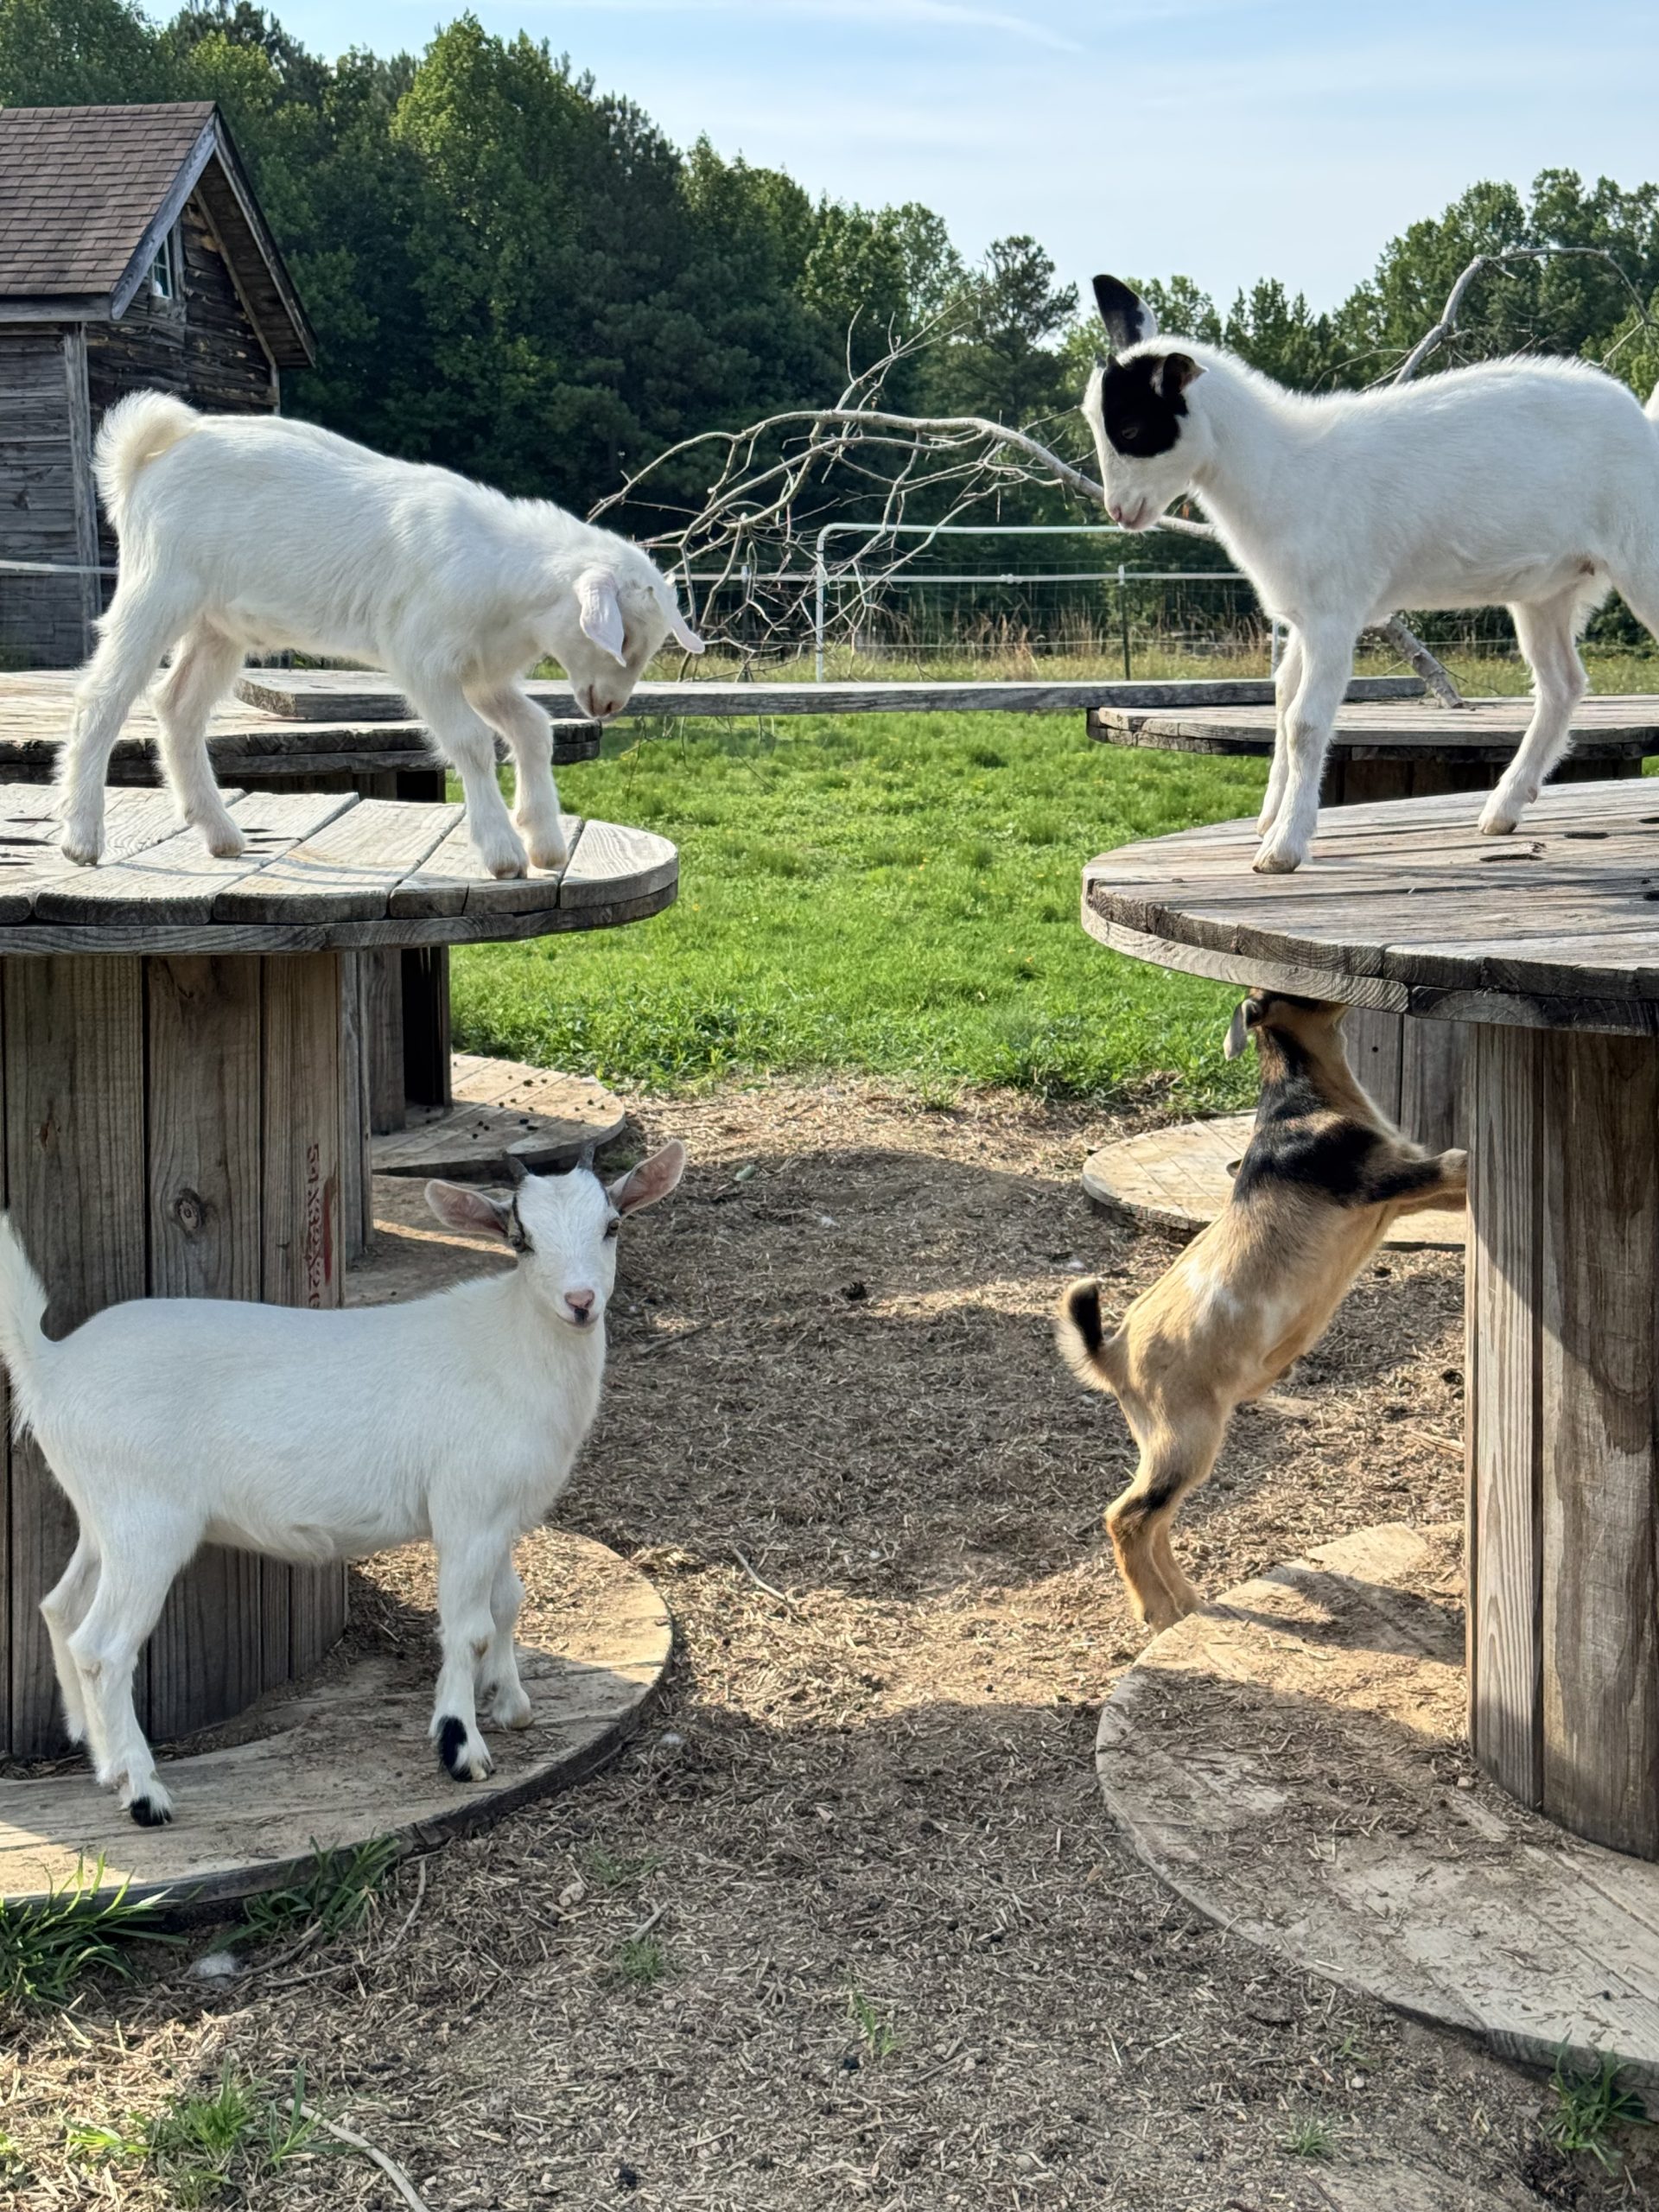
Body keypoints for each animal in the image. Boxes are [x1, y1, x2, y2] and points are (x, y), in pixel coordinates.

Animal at [0, 1141, 686, 1825]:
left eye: (612, 1225)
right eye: (521, 1240)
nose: (580, 1301)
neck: (514, 1347)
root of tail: (51, 1365)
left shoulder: (500, 1514)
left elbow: (508, 1602)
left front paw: (511, 1704)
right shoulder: (468, 1510)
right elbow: (469, 1628)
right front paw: (460, 1747)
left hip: (104, 1514)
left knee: (61, 1608)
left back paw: (104, 1760)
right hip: (148, 1523)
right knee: (103, 1647)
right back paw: (145, 1794)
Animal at [56, 394, 704, 878]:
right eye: (624, 639)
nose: (610, 706)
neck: (504, 575)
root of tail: (155, 451)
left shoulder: (482, 673)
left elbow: (533, 730)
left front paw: (544, 839)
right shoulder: (424, 658)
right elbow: (471, 742)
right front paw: (502, 853)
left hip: (218, 625)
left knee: (179, 707)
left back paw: (220, 832)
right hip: (159, 588)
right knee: (102, 700)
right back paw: (82, 838)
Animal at [1056, 992, 1465, 1630]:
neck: (1303, 1099)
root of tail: (1110, 1355)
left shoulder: (1406, 1196)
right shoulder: (1390, 1180)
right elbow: (1460, 1162)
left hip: (1170, 1444)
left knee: (1157, 1521)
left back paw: (1186, 1602)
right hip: (1186, 1436)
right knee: (1128, 1516)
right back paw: (1157, 1611)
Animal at [1080, 273, 1659, 872]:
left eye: (1131, 427)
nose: (1120, 512)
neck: (1281, 467)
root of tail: (1646, 426)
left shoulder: (1335, 613)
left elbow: (1304, 723)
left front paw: (1283, 847)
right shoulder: (1302, 616)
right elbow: (1282, 702)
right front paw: (1269, 819)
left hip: (1642, 555)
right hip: (1547, 590)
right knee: (1562, 685)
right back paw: (1503, 809)